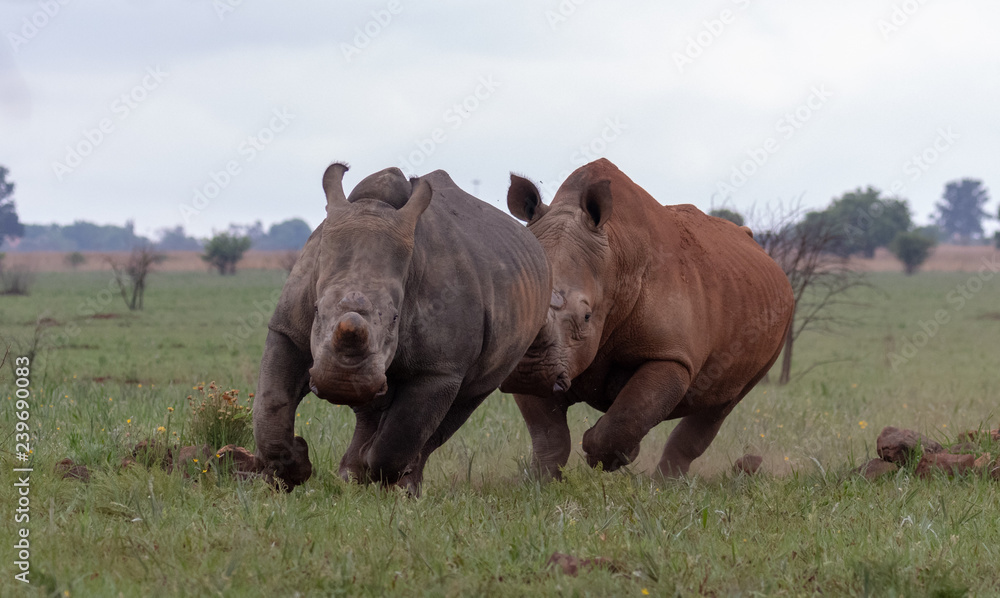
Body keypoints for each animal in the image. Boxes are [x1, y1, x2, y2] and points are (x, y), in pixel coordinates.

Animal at [253, 163, 549, 494]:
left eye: (396, 318)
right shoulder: (288, 330)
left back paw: (398, 486)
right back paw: (352, 477)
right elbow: (271, 404)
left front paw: (383, 479)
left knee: (459, 407)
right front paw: (291, 472)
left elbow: (400, 436)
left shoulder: (439, 369)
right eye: (317, 310)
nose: (341, 382)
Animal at [500, 158, 794, 479]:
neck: (617, 256)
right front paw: (540, 482)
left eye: (587, 316)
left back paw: (666, 483)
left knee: (721, 405)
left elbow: (632, 413)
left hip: (778, 319)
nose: (530, 372)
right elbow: (548, 434)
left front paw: (602, 455)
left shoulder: (671, 355)